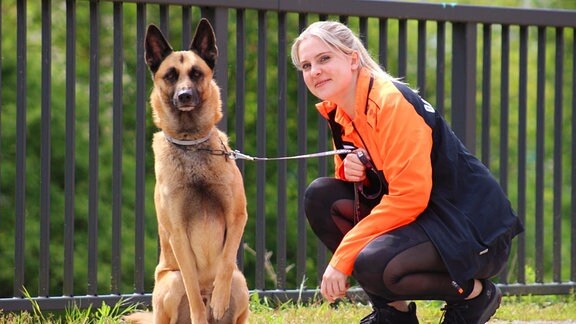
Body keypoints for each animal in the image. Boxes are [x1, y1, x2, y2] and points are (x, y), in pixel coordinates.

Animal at [127, 18, 249, 324]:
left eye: (196, 73)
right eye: (170, 75)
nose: (184, 96)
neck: (191, 144)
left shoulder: (237, 216)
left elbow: (226, 262)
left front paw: (218, 299)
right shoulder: (178, 232)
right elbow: (193, 288)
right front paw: (203, 307)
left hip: (242, 284)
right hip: (171, 281)